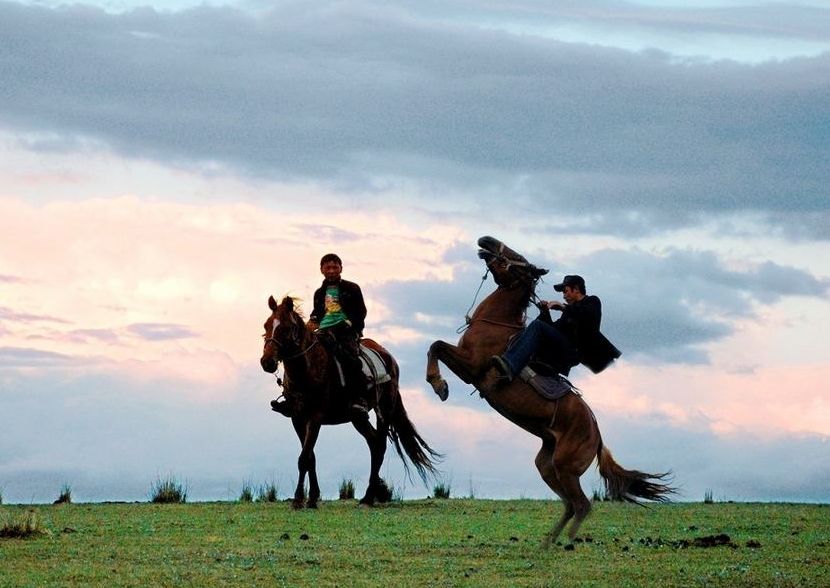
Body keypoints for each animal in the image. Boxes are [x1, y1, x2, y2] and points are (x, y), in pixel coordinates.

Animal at [262, 296, 442, 508]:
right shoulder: (297, 419)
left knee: (380, 445)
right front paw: (312, 497)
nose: (266, 362)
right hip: (358, 418)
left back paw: (369, 497)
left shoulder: (315, 417)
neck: (308, 368)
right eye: (266, 325)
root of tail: (389, 358)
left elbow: (304, 457)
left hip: (384, 411)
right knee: (374, 443)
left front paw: (299, 500)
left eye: (285, 328)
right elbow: (310, 457)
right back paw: (374, 493)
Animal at [428, 235, 676, 548]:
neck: (497, 325)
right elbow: (436, 346)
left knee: (582, 504)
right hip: (547, 465)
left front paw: (439, 385)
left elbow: (436, 346)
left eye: (520, 259)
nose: (487, 241)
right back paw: (547, 543)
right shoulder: (467, 368)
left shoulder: (472, 367)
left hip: (566, 467)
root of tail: (597, 437)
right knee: (569, 504)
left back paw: (566, 541)